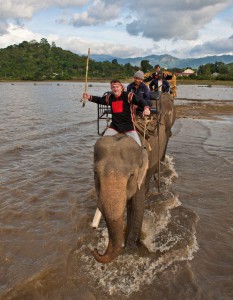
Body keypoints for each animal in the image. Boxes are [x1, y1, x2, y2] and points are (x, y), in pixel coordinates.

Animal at [91, 93, 175, 262]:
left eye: (130, 175)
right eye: (96, 173)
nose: (95, 250)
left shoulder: (141, 171)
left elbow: (136, 206)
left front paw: (131, 249)